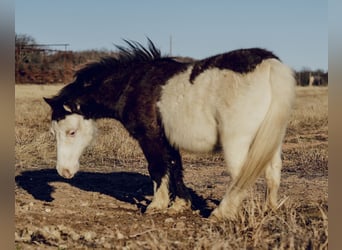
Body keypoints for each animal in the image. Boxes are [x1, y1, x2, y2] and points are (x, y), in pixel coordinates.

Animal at [44, 38, 296, 220]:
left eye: (71, 132)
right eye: (53, 133)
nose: (64, 171)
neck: (133, 84)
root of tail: (269, 64)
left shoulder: (150, 138)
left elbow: (157, 168)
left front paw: (157, 205)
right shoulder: (168, 139)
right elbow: (175, 167)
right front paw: (180, 205)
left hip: (237, 143)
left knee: (241, 177)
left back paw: (222, 214)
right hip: (271, 141)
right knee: (273, 172)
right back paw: (270, 209)